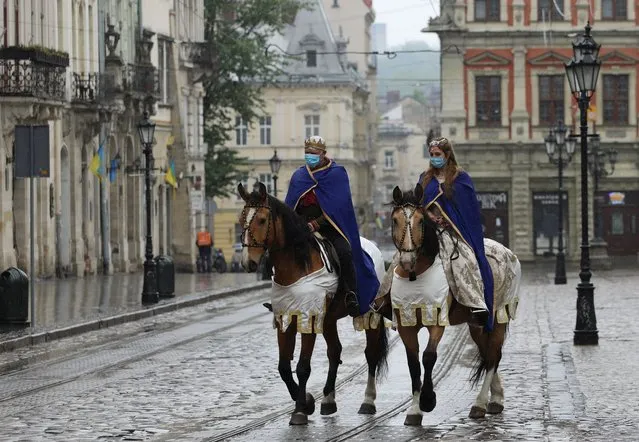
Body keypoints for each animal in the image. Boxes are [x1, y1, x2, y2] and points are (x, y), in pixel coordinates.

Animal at [239, 182, 390, 424]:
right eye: (242, 218)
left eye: (262, 220)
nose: (248, 262)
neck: (297, 265)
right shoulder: (285, 319)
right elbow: (283, 367)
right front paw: (307, 401)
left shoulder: (308, 318)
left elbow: (302, 367)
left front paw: (300, 409)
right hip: (328, 319)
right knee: (334, 351)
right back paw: (328, 399)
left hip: (370, 314)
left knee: (371, 354)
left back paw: (368, 401)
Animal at [378, 183, 524, 424]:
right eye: (395, 220)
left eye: (420, 220)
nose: (407, 260)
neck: (415, 274)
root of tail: (506, 251)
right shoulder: (407, 323)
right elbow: (413, 365)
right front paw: (414, 410)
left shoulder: (437, 318)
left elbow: (428, 357)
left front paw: (427, 401)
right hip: (476, 324)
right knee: (487, 354)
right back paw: (496, 398)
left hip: (499, 314)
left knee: (493, 356)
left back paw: (480, 404)